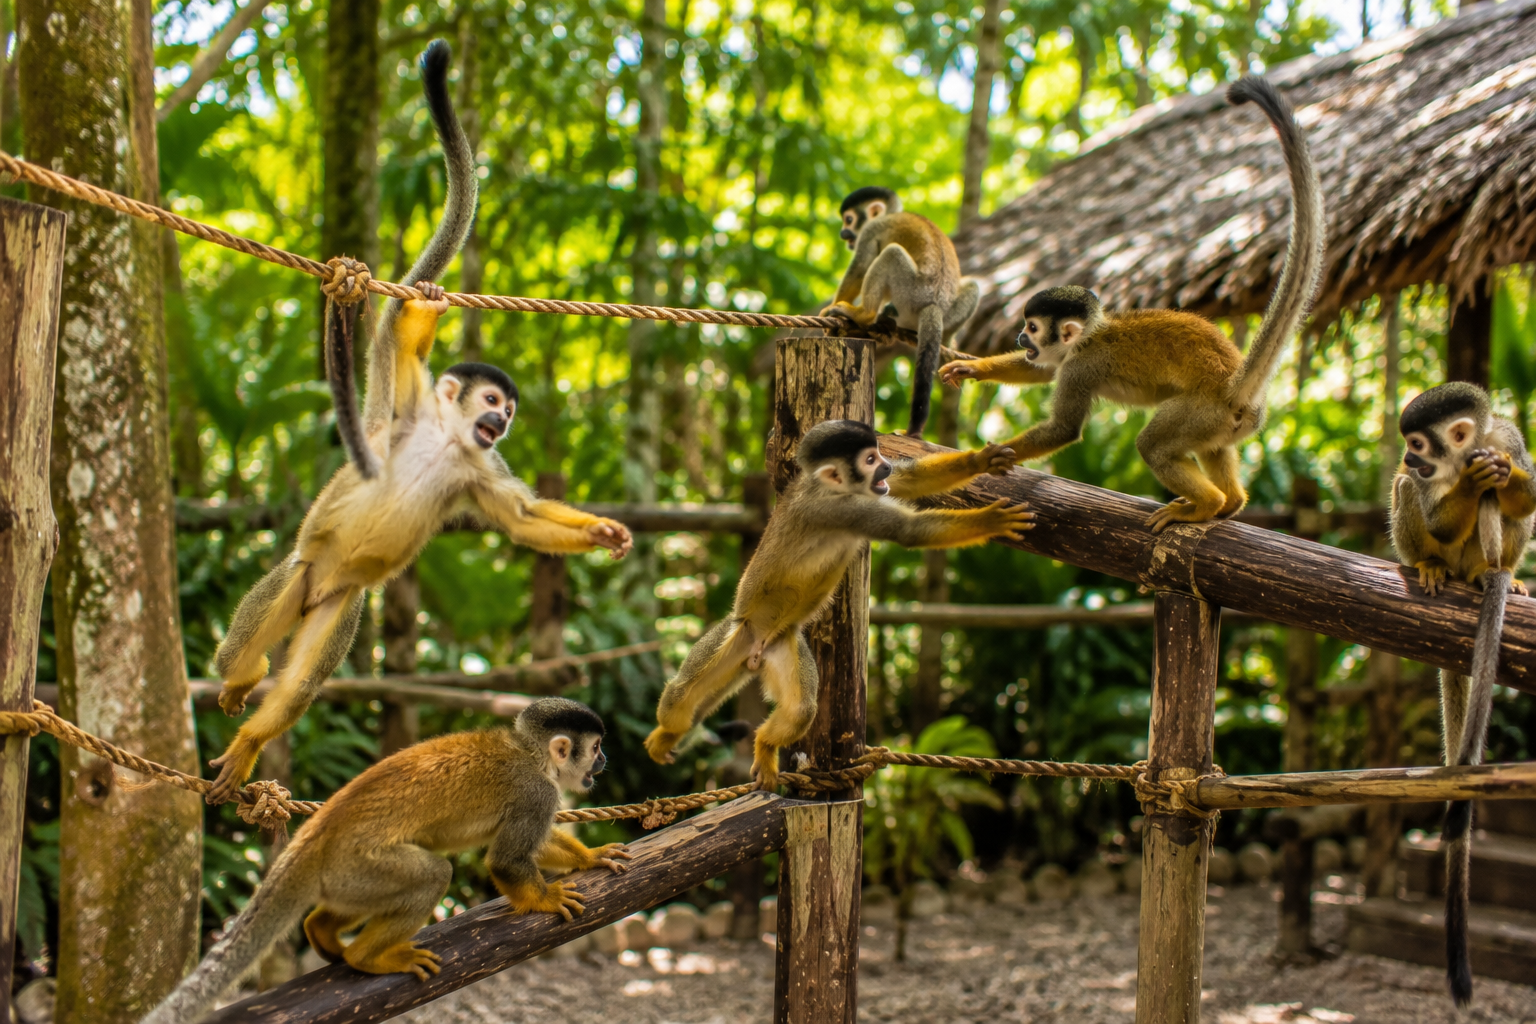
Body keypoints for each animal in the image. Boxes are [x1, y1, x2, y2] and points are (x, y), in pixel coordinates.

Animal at [141, 698, 628, 1024]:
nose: (605, 759)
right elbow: (507, 859)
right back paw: (367, 957)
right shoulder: (536, 791)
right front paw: (544, 899)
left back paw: (323, 930)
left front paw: (590, 857)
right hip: (359, 864)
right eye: (596, 748)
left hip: (345, 878)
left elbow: (530, 848)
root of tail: (316, 834)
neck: (532, 755)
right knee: (434, 874)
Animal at [204, 41, 633, 804]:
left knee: (305, 678)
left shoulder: (477, 468)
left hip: (341, 607)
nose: (503, 421)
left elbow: (519, 517)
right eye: (493, 405)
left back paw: (254, 736)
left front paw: (603, 532)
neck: (448, 440)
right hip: (303, 572)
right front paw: (428, 303)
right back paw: (241, 677)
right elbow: (406, 349)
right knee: (249, 633)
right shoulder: (408, 409)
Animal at [644, 420, 1033, 788]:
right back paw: (671, 731)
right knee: (681, 693)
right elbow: (910, 531)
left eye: (880, 456)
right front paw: (992, 519)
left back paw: (765, 746)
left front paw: (979, 460)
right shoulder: (839, 509)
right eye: (870, 460)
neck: (831, 488)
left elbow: (909, 481)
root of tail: (754, 650)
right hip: (735, 634)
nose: (886, 466)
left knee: (801, 710)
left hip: (782, 644)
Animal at [820, 187, 981, 439]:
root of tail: (933, 305)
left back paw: (864, 314)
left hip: (909, 293)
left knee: (891, 254)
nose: (843, 233)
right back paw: (942, 337)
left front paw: (832, 313)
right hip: (943, 310)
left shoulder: (871, 230)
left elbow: (860, 266)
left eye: (849, 220)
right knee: (973, 286)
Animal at [937, 76, 1324, 533]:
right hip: (1225, 424)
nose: (1019, 337)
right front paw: (972, 368)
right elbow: (1039, 369)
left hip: (1199, 412)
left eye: (1031, 328)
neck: (1088, 338)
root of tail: (1233, 385)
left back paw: (1206, 504)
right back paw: (1229, 503)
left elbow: (1063, 429)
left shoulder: (1081, 366)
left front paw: (988, 458)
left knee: (1153, 445)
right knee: (1213, 448)